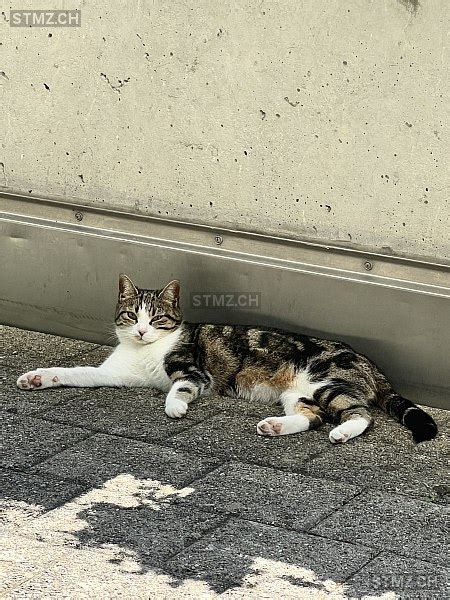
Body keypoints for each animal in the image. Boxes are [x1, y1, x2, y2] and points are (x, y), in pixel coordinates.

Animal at [15, 274, 438, 442]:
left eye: (157, 318)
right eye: (132, 316)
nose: (142, 331)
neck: (147, 351)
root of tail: (371, 363)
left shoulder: (191, 370)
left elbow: (179, 387)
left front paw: (175, 407)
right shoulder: (118, 373)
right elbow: (76, 372)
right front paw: (37, 378)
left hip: (324, 380)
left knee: (360, 415)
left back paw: (342, 432)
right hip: (299, 392)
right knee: (311, 416)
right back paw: (275, 426)